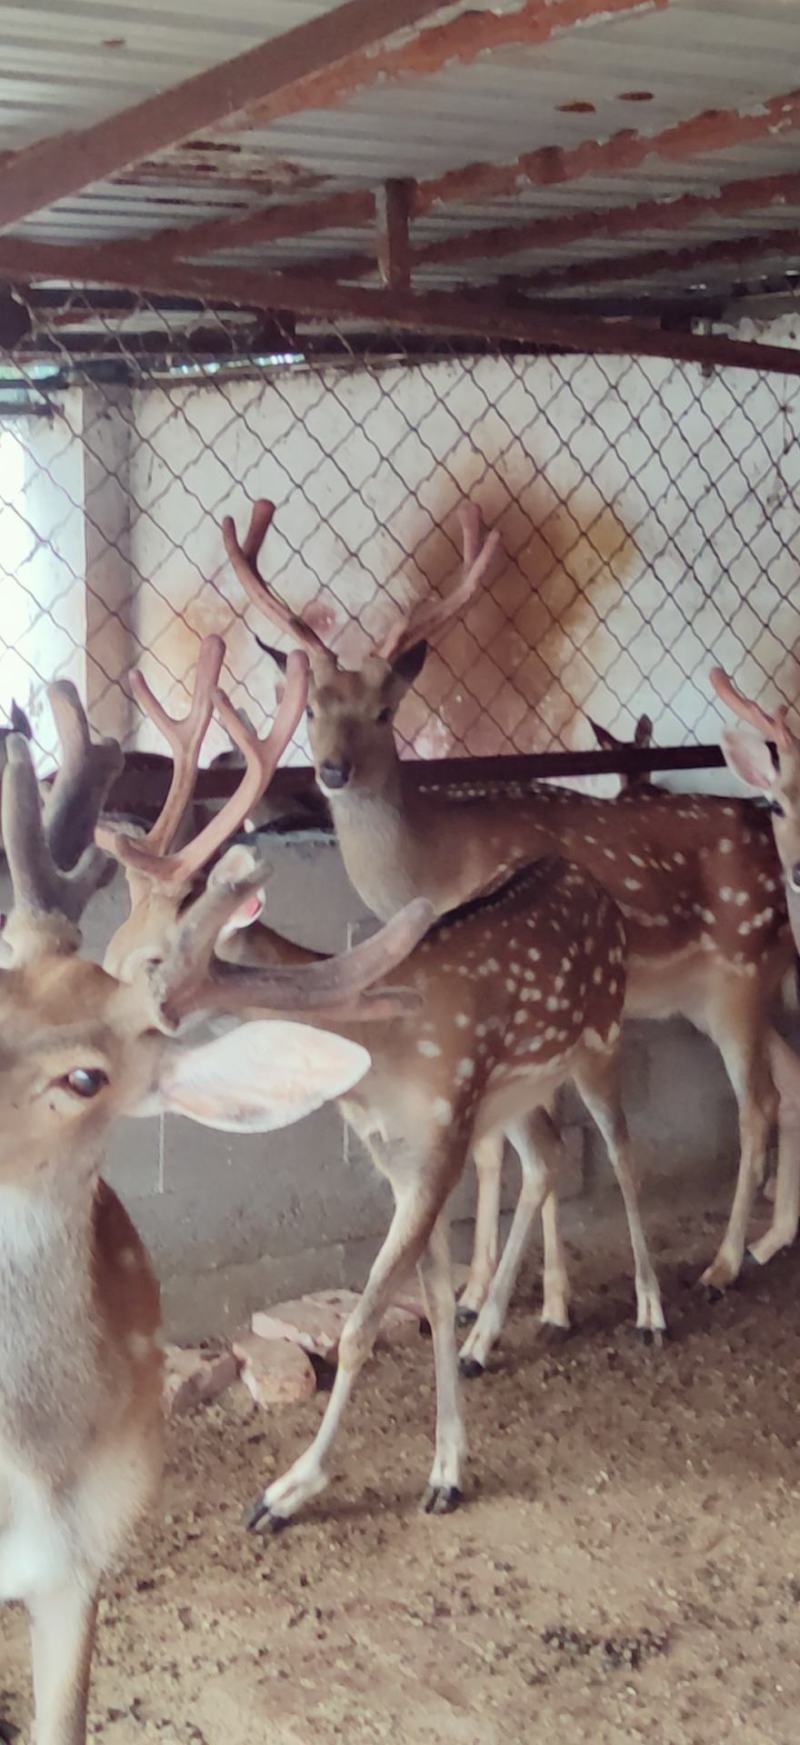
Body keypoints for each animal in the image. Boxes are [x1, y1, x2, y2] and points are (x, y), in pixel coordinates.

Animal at [97, 638, 666, 1531]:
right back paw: (497, 1332)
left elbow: (363, 1324)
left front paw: (286, 1491)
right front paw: (448, 1467)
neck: (375, 1056)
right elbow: (426, 1301)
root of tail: (586, 879)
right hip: (509, 1095)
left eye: (152, 964)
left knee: (621, 1147)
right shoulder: (400, 1158)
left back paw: (649, 1311)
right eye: (112, 947)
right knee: (546, 1157)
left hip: (601, 1037)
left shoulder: (436, 1145)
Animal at [218, 495, 800, 1301]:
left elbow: (516, 1149)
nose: (332, 770)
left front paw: (535, 1296)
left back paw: (724, 1260)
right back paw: (775, 1237)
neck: (435, 862)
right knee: (792, 1079)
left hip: (742, 970)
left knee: (758, 1104)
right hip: (724, 991)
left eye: (386, 710)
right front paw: (476, 1288)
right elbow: (500, 1146)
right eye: (309, 709)